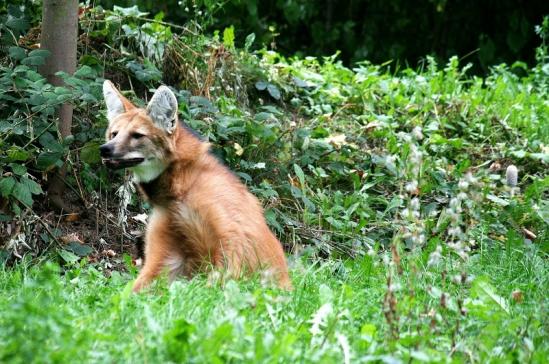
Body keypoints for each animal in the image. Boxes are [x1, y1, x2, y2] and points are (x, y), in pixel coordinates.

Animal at [98, 81, 292, 292]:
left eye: (137, 135)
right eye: (114, 134)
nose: (105, 149)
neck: (182, 187)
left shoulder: (230, 237)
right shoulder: (166, 246)